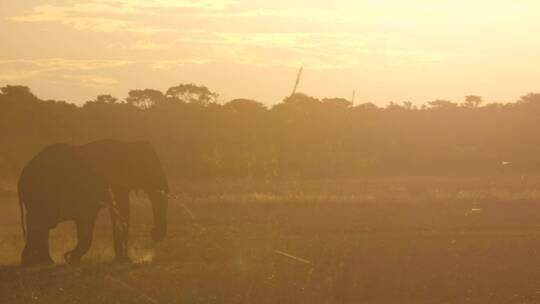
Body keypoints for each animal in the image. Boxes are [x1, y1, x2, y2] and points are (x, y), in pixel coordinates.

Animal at [18, 140, 169, 266]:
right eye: (150, 170)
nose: (153, 233)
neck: (127, 144)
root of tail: (22, 175)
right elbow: (90, 217)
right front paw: (69, 258)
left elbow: (122, 211)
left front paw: (124, 260)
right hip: (39, 193)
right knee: (41, 223)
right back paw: (38, 262)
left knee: (40, 224)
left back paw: (38, 262)